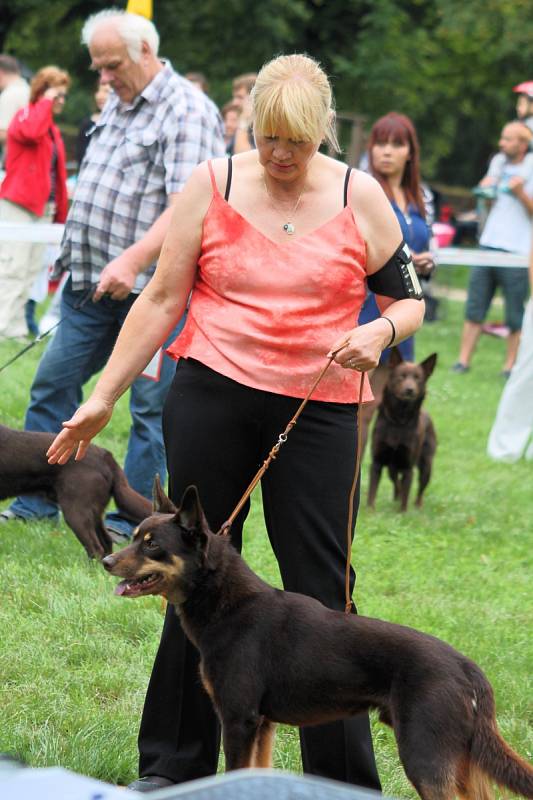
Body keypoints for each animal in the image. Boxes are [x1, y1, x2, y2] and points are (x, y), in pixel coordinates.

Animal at [101, 482, 532, 800]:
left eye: (152, 544)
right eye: (135, 536)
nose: (105, 561)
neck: (227, 602)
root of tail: (467, 667)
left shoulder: (239, 719)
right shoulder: (263, 725)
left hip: (425, 755)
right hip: (458, 758)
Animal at [366, 346, 436, 510]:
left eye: (418, 378)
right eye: (401, 377)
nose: (409, 390)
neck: (398, 422)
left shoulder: (407, 466)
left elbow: (405, 496)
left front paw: (402, 512)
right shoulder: (377, 462)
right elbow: (372, 491)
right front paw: (370, 510)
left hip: (426, 465)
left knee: (420, 487)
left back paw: (417, 505)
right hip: (392, 467)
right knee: (396, 482)